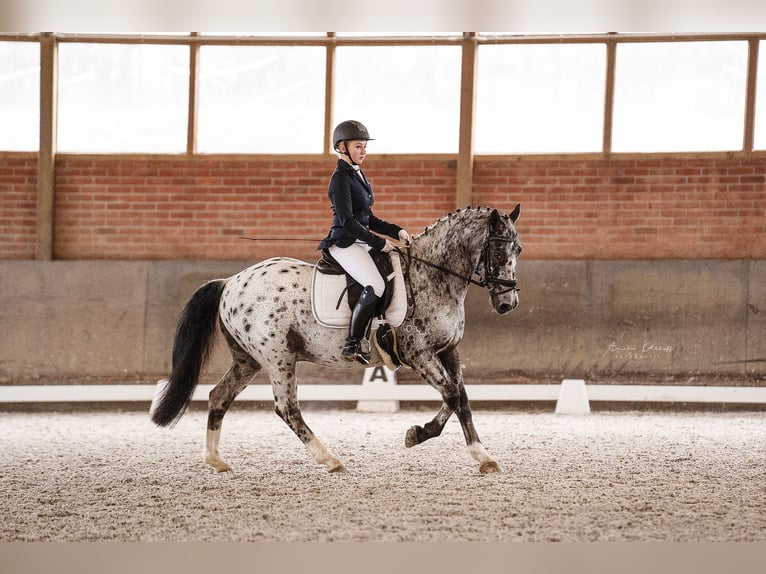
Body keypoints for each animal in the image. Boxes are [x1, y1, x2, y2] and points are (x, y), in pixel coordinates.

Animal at [150, 205, 520, 474]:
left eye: (518, 249)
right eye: (498, 254)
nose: (508, 304)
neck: (432, 275)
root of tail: (230, 281)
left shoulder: (448, 351)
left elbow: (462, 399)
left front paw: (483, 456)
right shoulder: (420, 353)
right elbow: (452, 395)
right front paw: (417, 434)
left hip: (248, 360)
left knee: (219, 396)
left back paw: (216, 460)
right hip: (278, 358)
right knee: (287, 408)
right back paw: (330, 460)